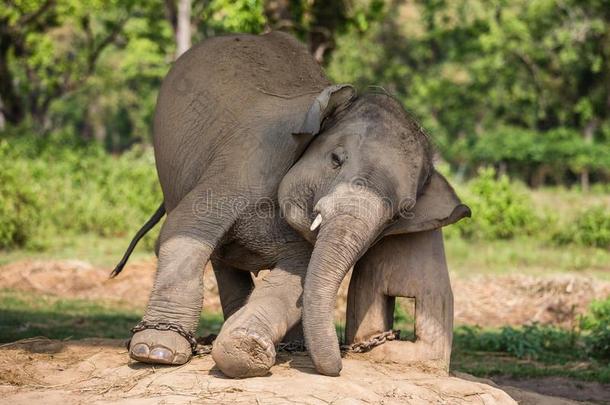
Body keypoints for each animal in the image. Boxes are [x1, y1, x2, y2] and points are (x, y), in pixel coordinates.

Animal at [113, 30, 466, 378]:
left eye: (399, 213)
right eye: (335, 159)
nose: (340, 364)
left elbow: (297, 278)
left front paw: (245, 348)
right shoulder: (248, 158)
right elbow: (185, 229)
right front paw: (156, 352)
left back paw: (288, 346)